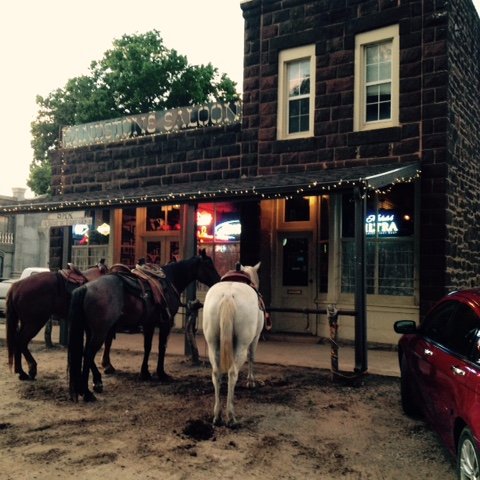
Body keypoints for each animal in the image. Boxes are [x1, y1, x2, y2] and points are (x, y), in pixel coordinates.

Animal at [66, 249, 220, 404]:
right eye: (209, 265)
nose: (218, 281)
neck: (170, 280)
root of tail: (86, 287)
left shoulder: (149, 324)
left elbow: (148, 347)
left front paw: (144, 373)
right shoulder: (165, 324)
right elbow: (161, 347)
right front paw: (161, 373)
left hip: (90, 330)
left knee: (85, 352)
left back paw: (93, 384)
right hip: (100, 331)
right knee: (88, 354)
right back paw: (88, 392)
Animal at [202, 262, 264, 428]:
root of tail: (228, 295)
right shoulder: (255, 338)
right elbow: (252, 357)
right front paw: (251, 381)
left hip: (213, 344)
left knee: (216, 373)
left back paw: (217, 415)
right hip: (241, 345)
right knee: (233, 372)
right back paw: (230, 416)